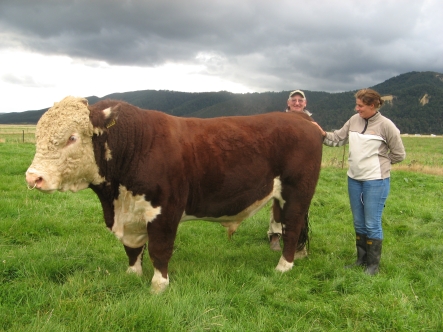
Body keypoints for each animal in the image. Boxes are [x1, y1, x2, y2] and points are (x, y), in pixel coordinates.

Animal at [25, 96, 322, 294]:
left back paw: (284, 266)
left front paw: (159, 285)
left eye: (72, 137)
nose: (33, 177)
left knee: (292, 226)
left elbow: (159, 249)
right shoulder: (131, 214)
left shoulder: (165, 210)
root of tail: (300, 119)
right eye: (38, 136)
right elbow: (132, 249)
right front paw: (132, 274)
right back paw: (298, 256)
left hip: (297, 192)